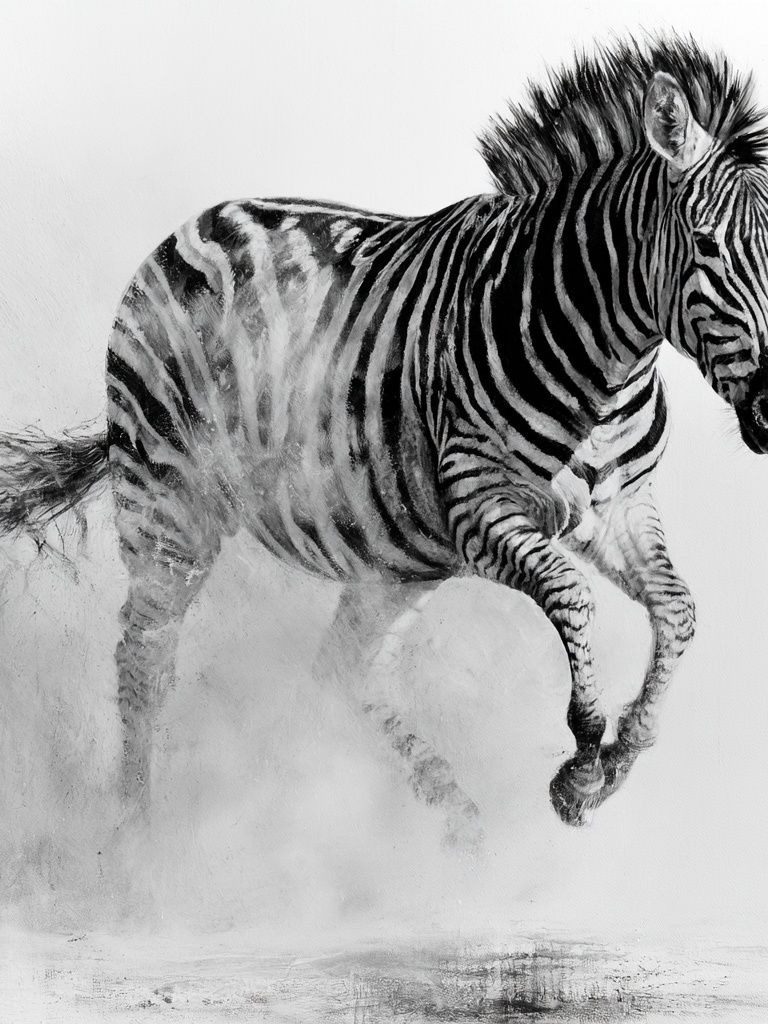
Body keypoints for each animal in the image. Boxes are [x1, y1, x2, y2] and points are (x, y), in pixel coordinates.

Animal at [2, 35, 768, 844]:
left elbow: (678, 608)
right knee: (144, 659)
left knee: (341, 672)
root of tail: (195, 223)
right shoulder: (480, 506)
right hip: (169, 500)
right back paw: (135, 842)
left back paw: (455, 821)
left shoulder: (621, 507)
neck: (605, 363)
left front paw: (619, 757)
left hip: (397, 560)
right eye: (706, 245)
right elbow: (570, 591)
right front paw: (586, 756)